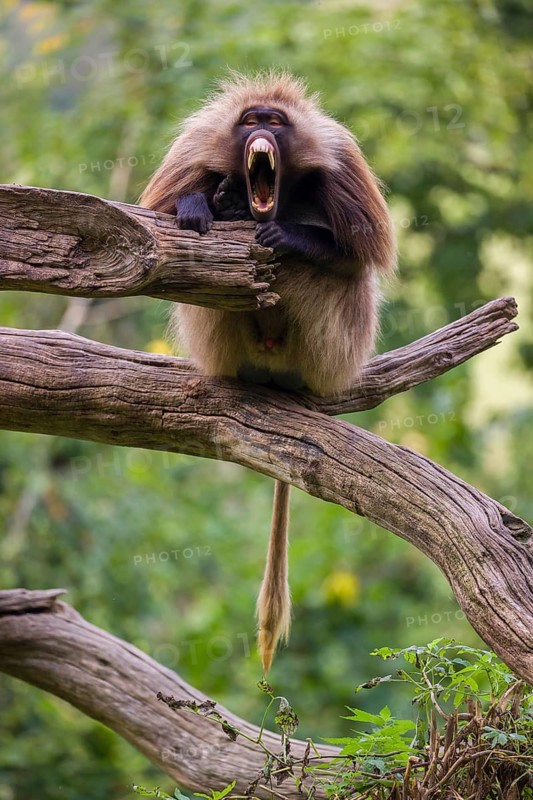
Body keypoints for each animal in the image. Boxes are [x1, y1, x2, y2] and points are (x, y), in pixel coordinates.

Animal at [140, 71, 396, 672]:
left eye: (275, 123)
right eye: (250, 121)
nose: (262, 130)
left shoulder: (342, 162)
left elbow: (362, 252)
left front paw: (286, 234)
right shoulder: (194, 149)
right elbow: (161, 236)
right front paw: (203, 202)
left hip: (331, 356)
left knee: (327, 274)